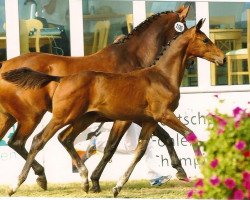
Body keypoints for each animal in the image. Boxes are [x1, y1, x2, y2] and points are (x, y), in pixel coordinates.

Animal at [1, 18, 225, 197]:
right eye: (205, 40)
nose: (222, 58)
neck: (161, 76)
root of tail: (61, 78)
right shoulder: (160, 114)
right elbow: (189, 134)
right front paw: (203, 172)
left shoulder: (149, 120)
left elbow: (141, 149)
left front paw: (116, 186)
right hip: (52, 116)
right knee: (36, 141)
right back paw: (20, 184)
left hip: (83, 118)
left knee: (63, 138)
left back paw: (83, 179)